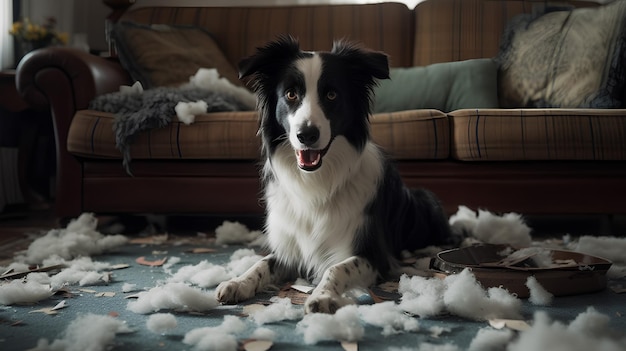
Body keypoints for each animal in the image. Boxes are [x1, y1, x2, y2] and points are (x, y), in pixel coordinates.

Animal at [217, 37, 450, 314]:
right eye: (291, 94)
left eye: (331, 94)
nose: (307, 135)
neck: (316, 181)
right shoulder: (290, 250)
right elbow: (262, 263)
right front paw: (237, 283)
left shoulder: (375, 256)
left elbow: (336, 268)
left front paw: (323, 296)